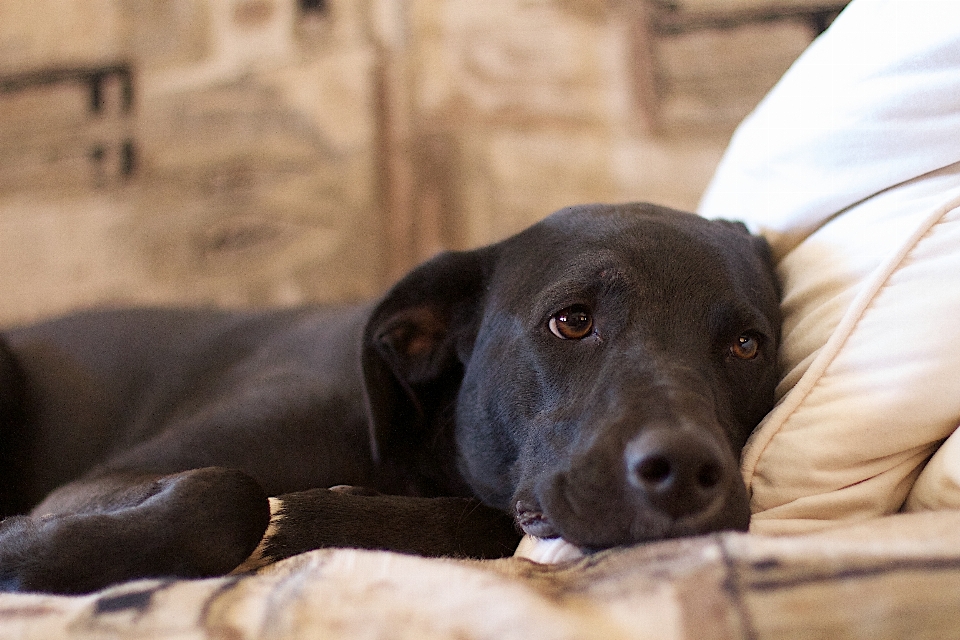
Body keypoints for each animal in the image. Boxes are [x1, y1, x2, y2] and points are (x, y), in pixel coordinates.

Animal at [0, 202, 780, 592]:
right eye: (572, 321)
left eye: (747, 346)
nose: (684, 471)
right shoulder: (97, 485)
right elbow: (230, 495)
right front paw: (18, 553)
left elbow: (468, 521)